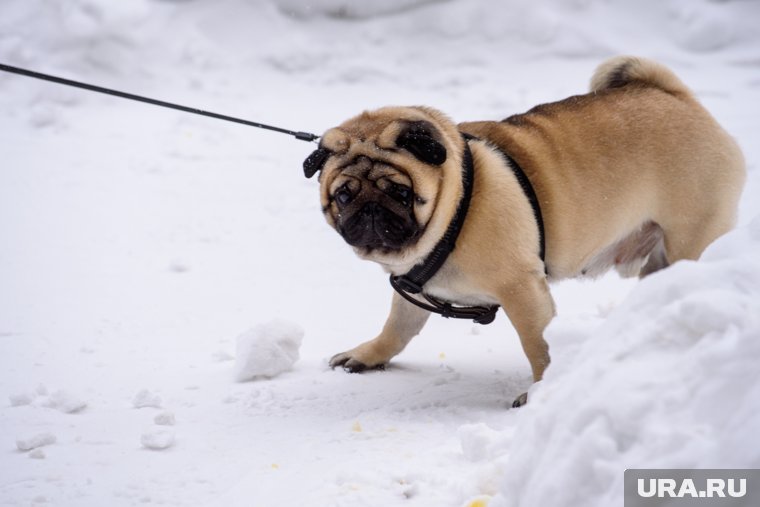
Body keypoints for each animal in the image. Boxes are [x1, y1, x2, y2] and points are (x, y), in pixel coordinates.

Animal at [302, 55, 744, 406]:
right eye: (344, 195)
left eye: (400, 191)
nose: (370, 211)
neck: (456, 209)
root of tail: (677, 97)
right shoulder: (412, 291)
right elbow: (397, 329)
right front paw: (368, 355)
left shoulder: (521, 288)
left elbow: (538, 345)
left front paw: (541, 392)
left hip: (692, 239)